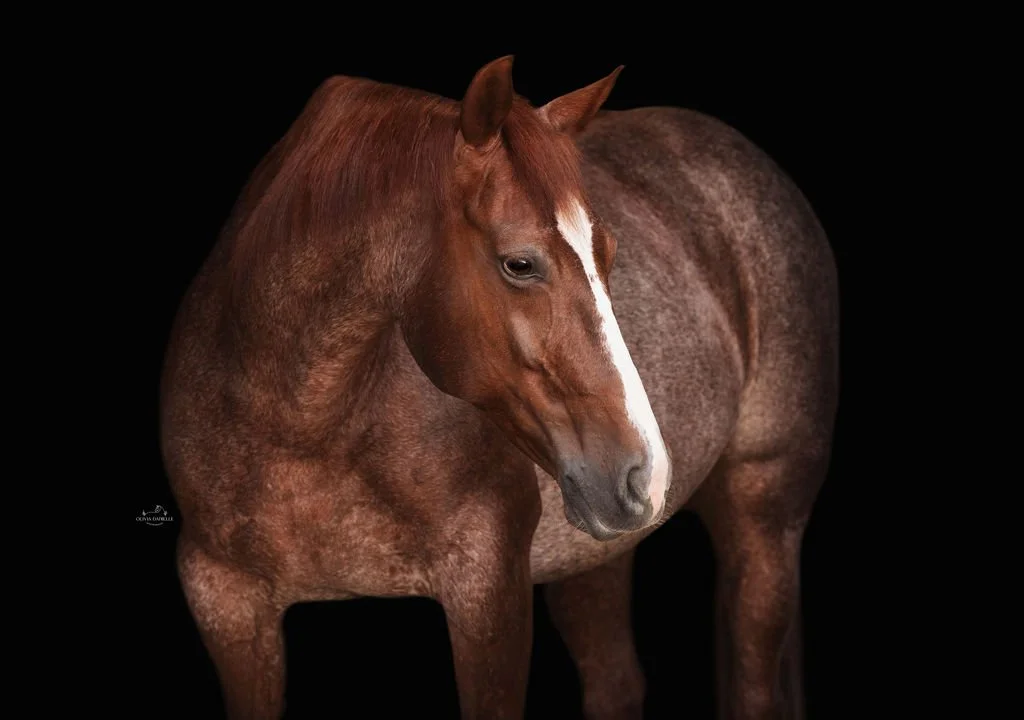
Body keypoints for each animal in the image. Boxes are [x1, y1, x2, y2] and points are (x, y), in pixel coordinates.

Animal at [160, 55, 838, 719]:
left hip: (764, 519)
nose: (645, 475)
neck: (301, 426)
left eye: (609, 253)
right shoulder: (226, 604)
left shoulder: (489, 592)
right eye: (520, 263)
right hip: (595, 561)